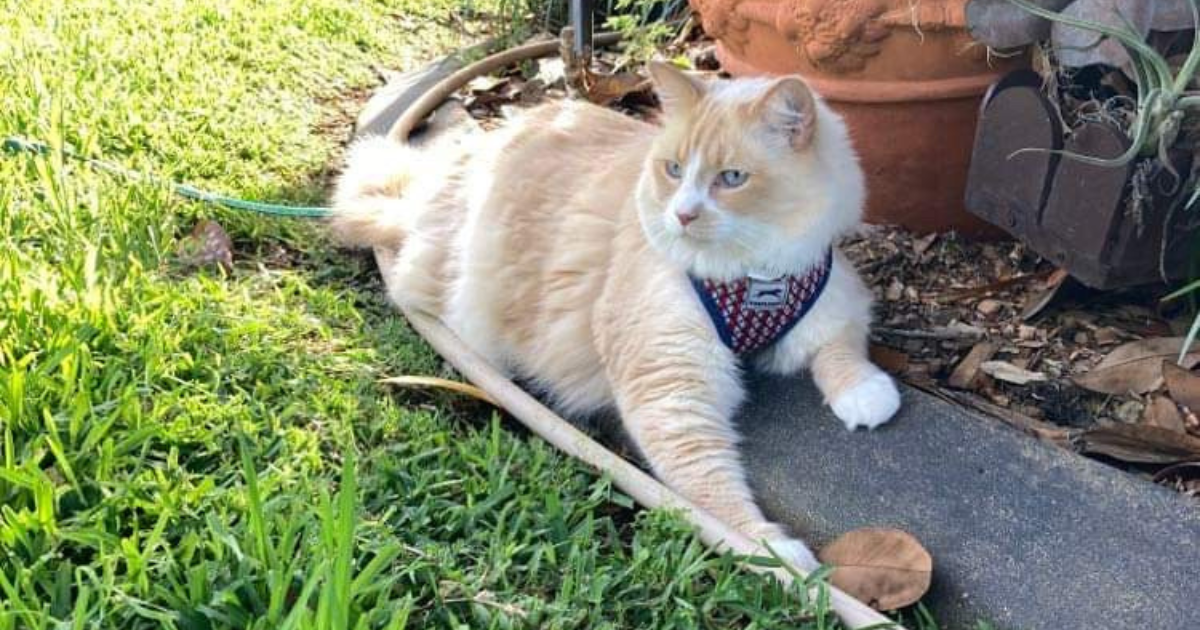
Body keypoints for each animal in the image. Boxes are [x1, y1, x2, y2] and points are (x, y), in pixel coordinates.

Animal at [328, 61, 902, 566]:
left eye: (733, 178)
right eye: (674, 170)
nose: (682, 215)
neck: (751, 279)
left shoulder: (833, 299)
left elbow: (841, 353)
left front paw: (866, 395)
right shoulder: (672, 391)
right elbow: (713, 489)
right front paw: (775, 553)